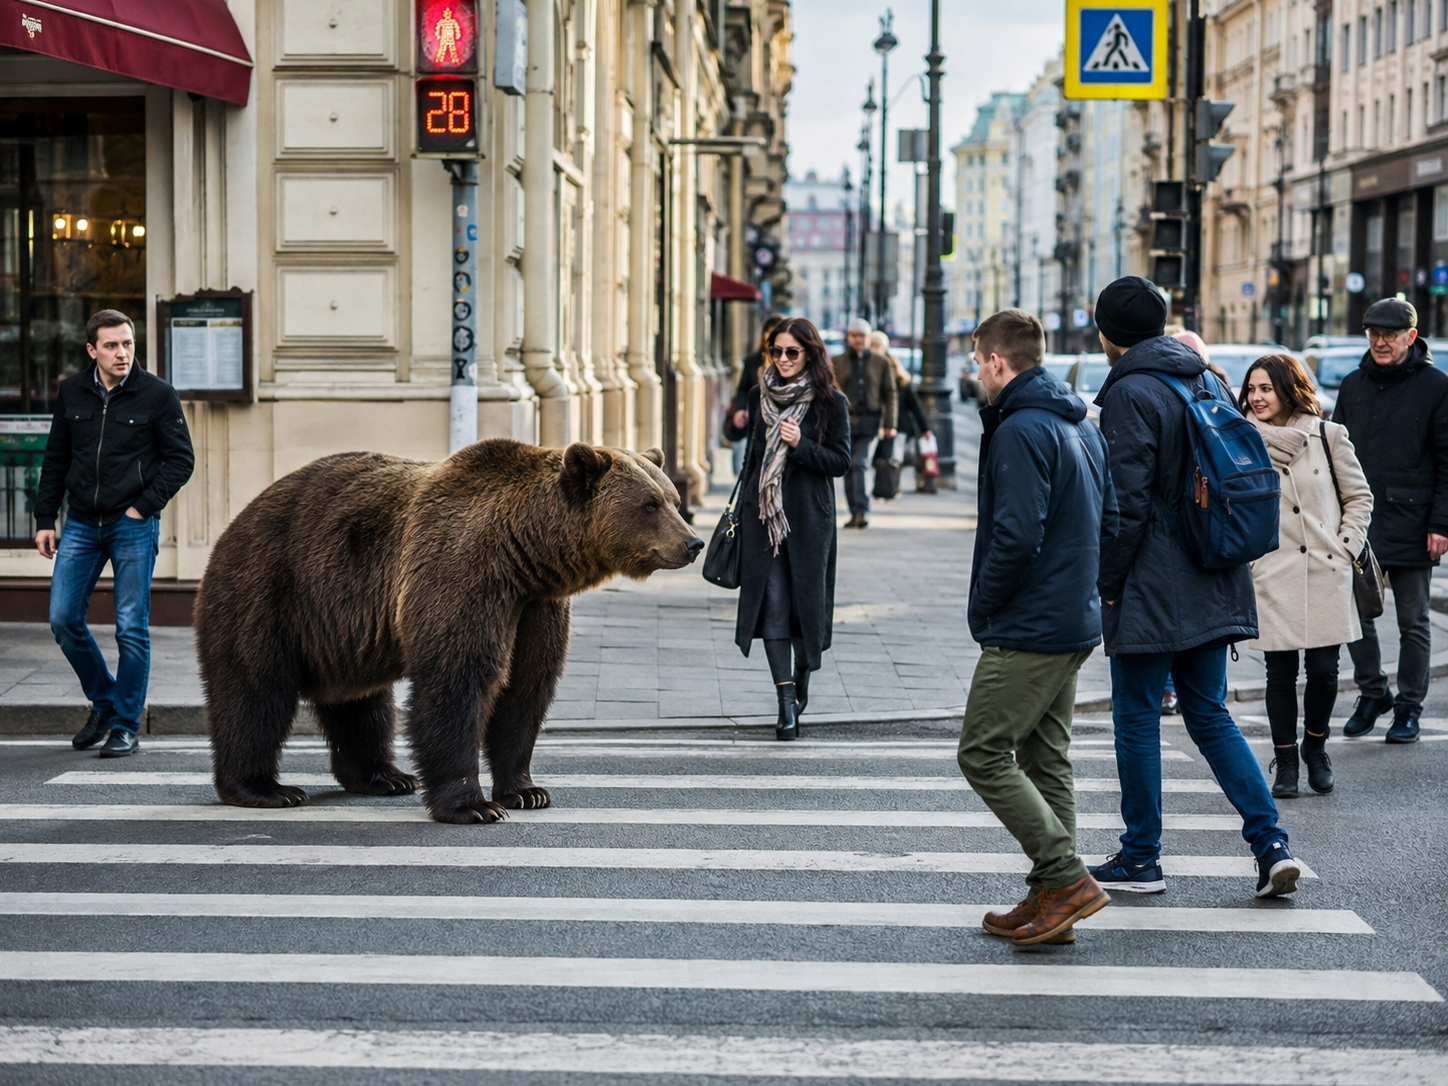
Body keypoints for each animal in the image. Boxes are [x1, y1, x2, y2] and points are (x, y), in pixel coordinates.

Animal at [194, 440, 703, 824]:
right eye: (650, 504)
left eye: (675, 501)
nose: (693, 542)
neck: (526, 553)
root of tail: (236, 521)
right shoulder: (465, 574)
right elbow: (459, 679)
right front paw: (473, 806)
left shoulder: (536, 607)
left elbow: (527, 688)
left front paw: (527, 790)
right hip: (269, 591)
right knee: (255, 690)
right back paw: (264, 789)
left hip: (341, 630)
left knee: (363, 705)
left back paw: (386, 777)